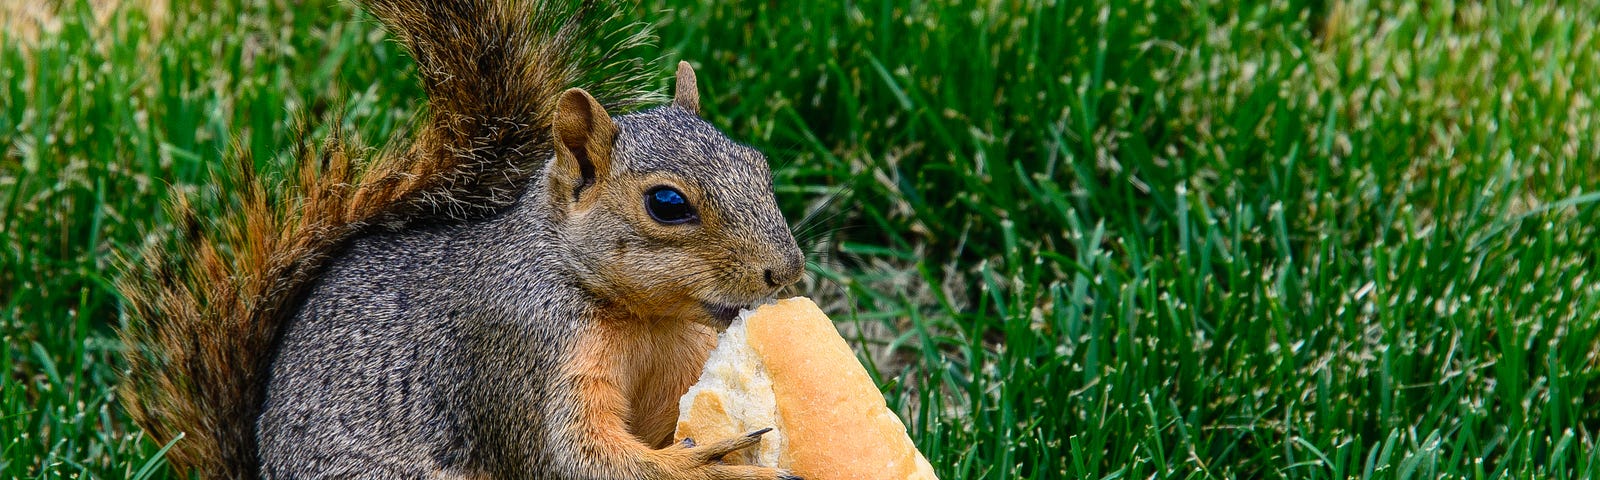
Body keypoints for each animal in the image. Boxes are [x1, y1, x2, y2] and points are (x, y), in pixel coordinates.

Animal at [118, 0, 806, 480]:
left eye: (759, 164)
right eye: (667, 204)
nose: (787, 271)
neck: (645, 320)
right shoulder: (518, 356)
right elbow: (575, 457)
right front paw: (707, 464)